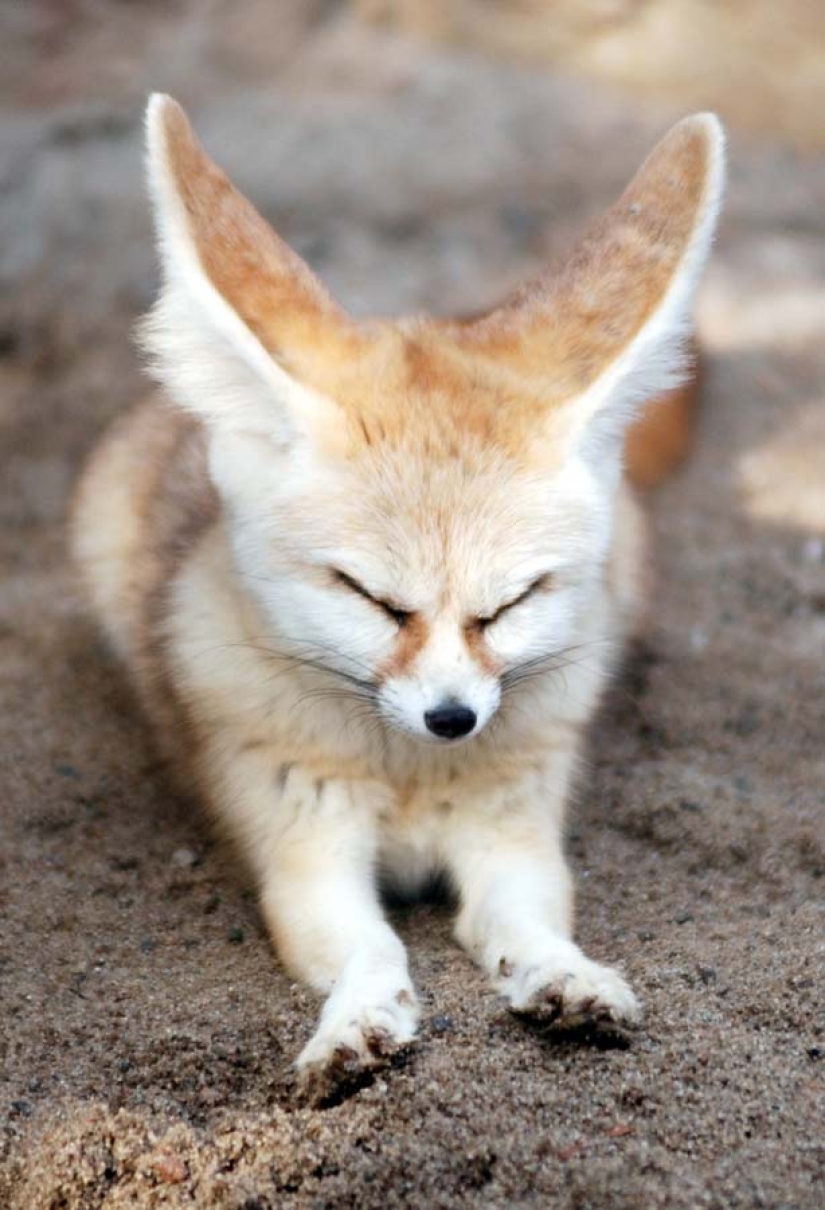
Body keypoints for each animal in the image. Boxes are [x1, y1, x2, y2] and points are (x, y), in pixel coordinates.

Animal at [70, 95, 725, 1096]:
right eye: (371, 598)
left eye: (511, 604)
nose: (451, 719)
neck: (412, 778)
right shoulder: (306, 858)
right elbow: (372, 950)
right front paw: (355, 1027)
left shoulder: (512, 838)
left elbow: (525, 925)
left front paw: (565, 977)